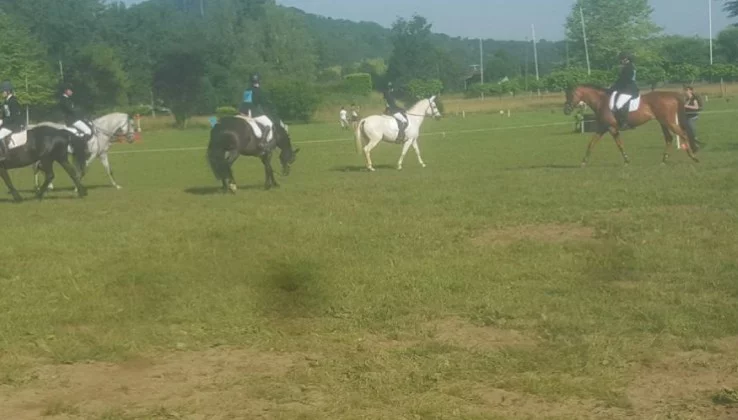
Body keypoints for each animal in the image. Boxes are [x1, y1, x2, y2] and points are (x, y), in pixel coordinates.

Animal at [564, 84, 699, 166]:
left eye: (571, 95)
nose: (566, 110)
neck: (601, 102)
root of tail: (671, 95)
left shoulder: (612, 128)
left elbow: (619, 145)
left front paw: (626, 160)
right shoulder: (602, 128)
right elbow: (591, 143)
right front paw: (583, 162)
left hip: (668, 122)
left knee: (683, 134)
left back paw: (693, 157)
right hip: (663, 123)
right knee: (669, 138)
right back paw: (664, 160)